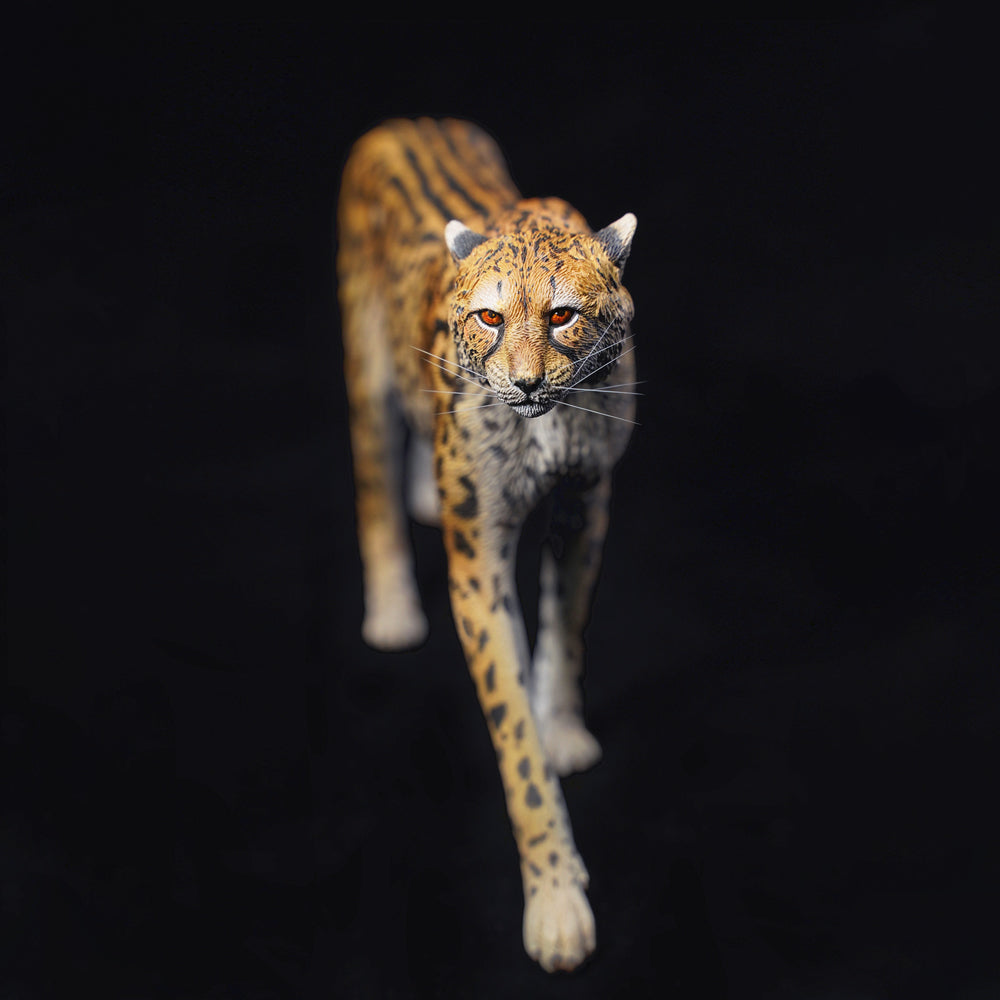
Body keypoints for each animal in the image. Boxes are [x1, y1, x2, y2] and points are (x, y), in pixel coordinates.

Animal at [336, 117, 637, 972]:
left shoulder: (586, 503)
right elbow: (515, 741)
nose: (527, 384)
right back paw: (393, 607)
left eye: (564, 315)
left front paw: (560, 726)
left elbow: (566, 628)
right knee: (373, 477)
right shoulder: (478, 566)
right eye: (490, 319)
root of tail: (405, 122)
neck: (550, 424)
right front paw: (557, 900)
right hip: (365, 364)